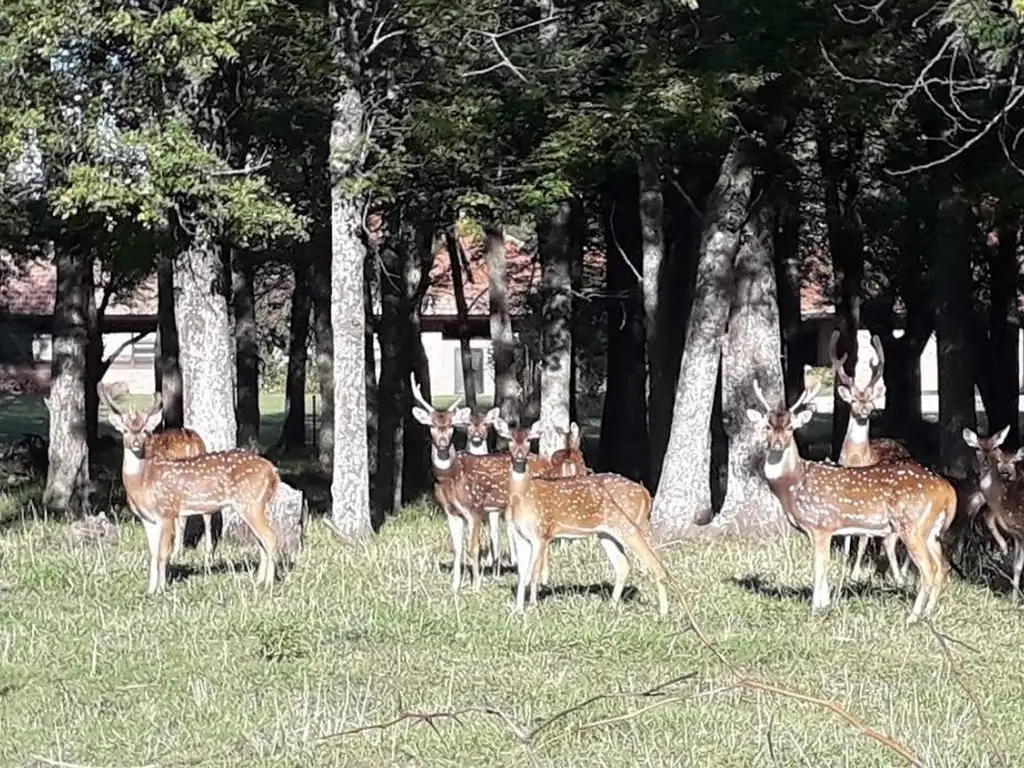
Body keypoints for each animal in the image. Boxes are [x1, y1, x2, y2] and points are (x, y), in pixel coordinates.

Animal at [98, 387, 280, 598]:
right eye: (125, 430)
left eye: (145, 430)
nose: (135, 443)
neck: (143, 483)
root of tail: (273, 471)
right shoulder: (147, 518)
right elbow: (152, 553)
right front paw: (150, 589)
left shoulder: (167, 511)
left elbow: (162, 553)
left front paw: (161, 589)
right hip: (253, 505)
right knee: (261, 541)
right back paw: (259, 581)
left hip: (251, 502)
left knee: (270, 538)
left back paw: (268, 584)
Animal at [497, 417, 671, 618]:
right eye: (509, 439)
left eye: (528, 440)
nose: (519, 456)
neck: (524, 496)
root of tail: (645, 494)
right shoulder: (521, 535)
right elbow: (521, 573)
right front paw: (518, 610)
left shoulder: (541, 532)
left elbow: (534, 573)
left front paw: (532, 607)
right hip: (608, 532)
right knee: (624, 565)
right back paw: (611, 607)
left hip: (630, 527)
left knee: (657, 563)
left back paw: (663, 613)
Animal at [749, 378, 954, 626]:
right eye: (767, 427)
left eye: (790, 427)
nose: (777, 443)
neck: (793, 484)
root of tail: (947, 490)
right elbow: (825, 566)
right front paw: (825, 604)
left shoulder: (821, 524)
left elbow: (819, 566)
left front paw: (817, 608)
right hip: (931, 530)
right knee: (943, 567)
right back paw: (928, 613)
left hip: (913, 525)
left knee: (929, 569)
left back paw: (912, 617)